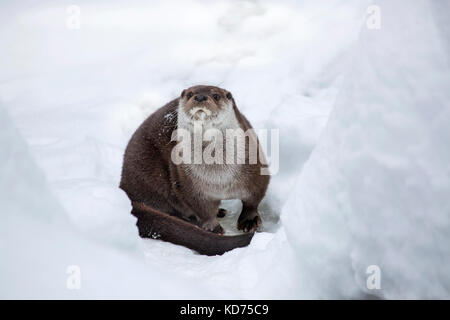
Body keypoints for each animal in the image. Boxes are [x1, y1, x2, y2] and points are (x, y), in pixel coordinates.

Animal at [118, 85, 268, 255]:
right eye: (190, 94)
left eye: (216, 96)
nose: (200, 97)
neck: (219, 177)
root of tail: (125, 187)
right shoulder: (189, 183)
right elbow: (202, 209)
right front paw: (213, 228)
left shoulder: (255, 168)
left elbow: (253, 200)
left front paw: (249, 220)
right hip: (150, 179)